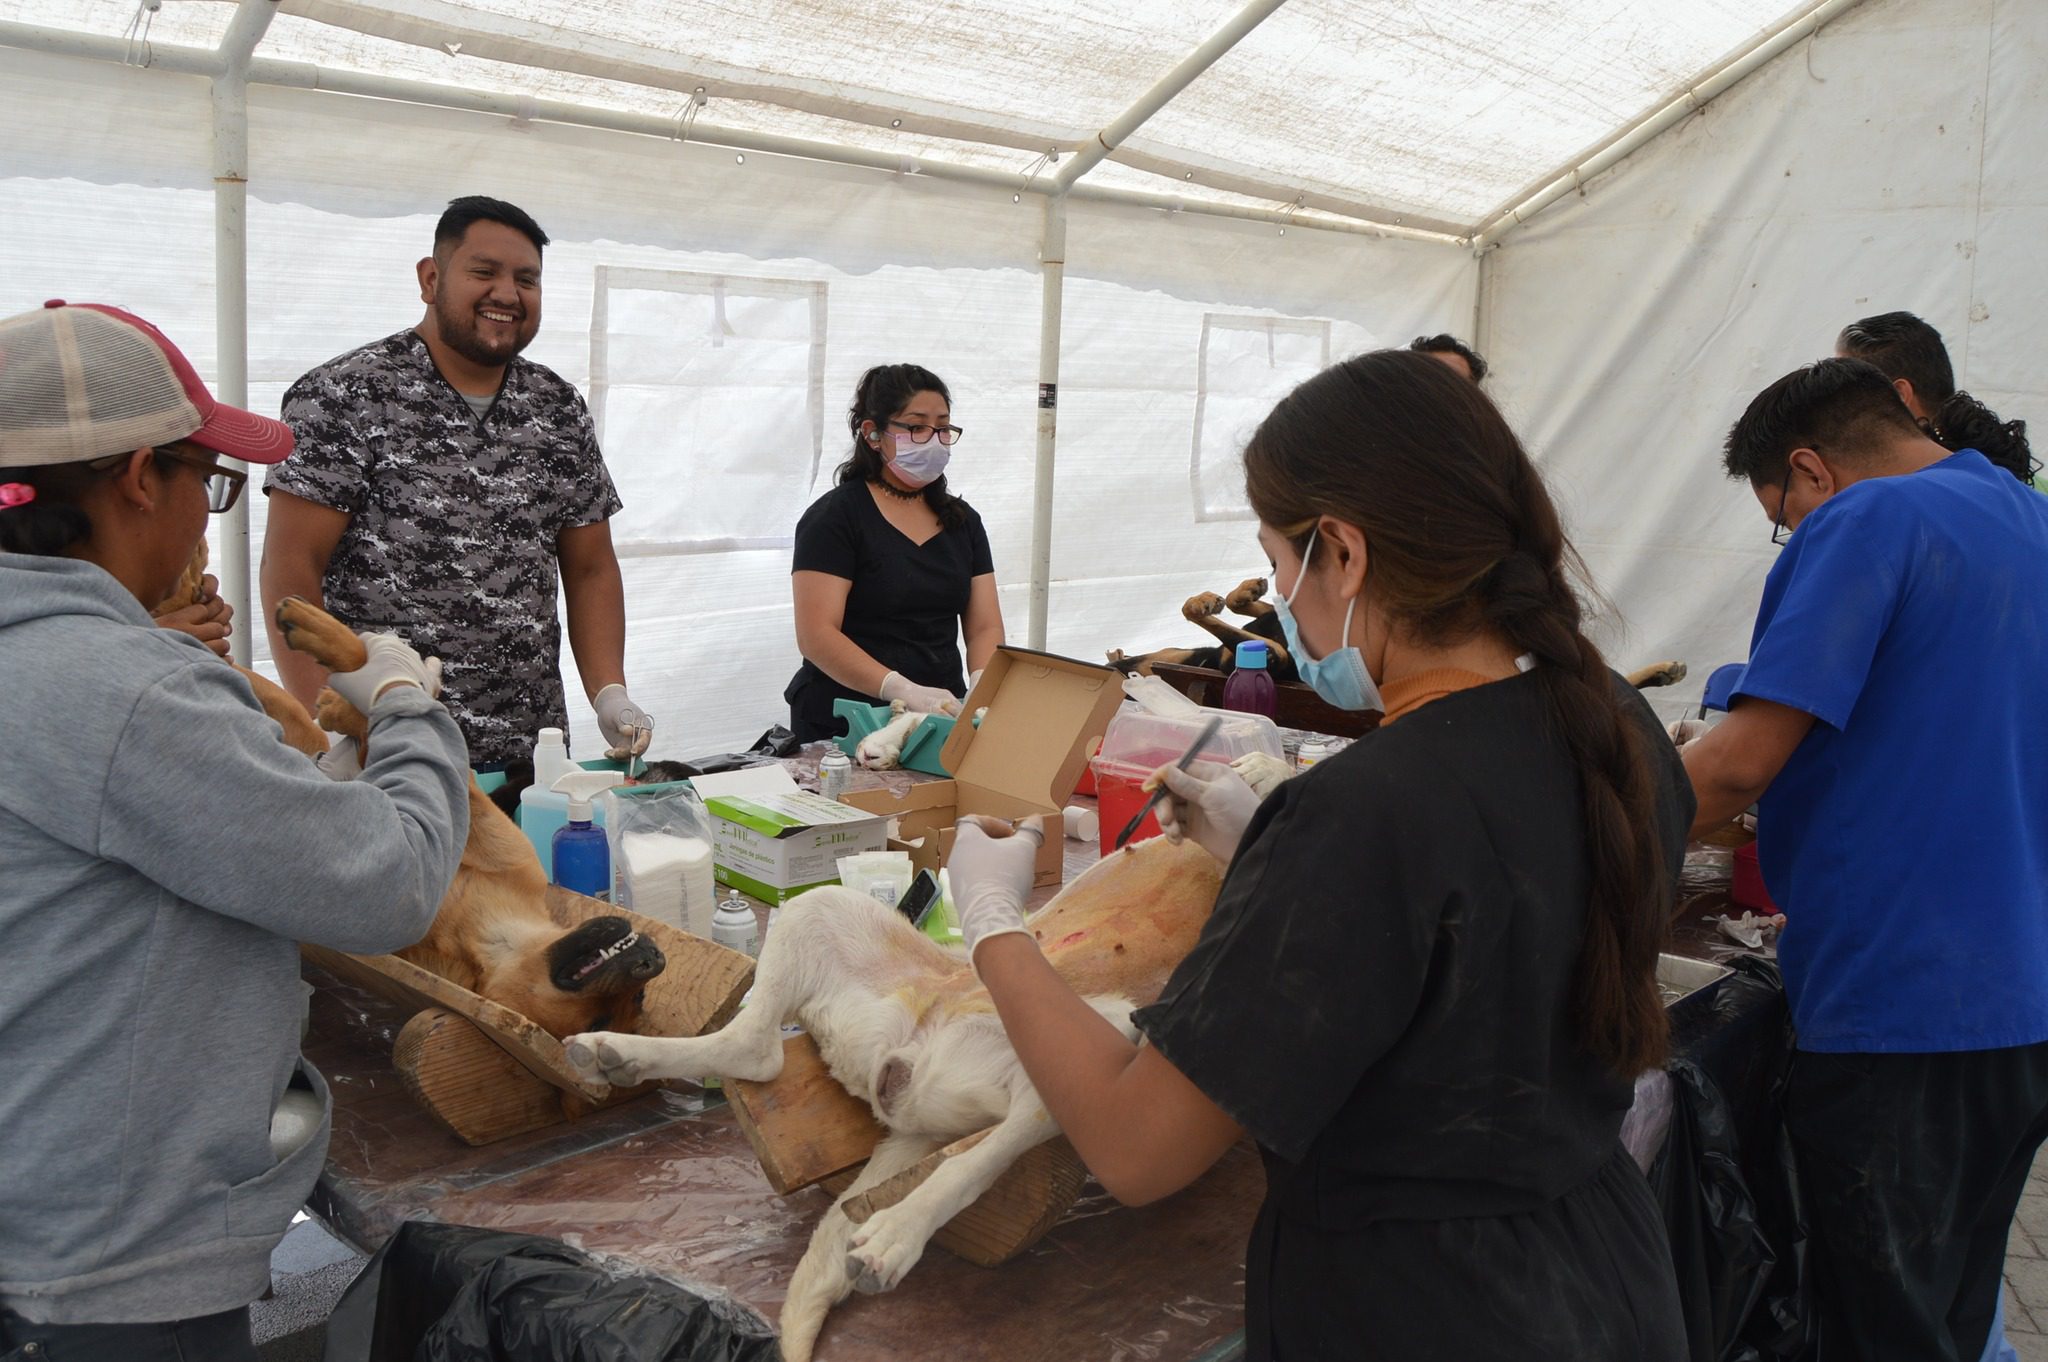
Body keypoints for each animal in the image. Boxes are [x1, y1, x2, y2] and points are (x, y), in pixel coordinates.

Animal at [262, 589, 663, 1036]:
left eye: (600, 1023)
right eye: (639, 997)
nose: (652, 960)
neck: (485, 935)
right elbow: (387, 712)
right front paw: (341, 692)